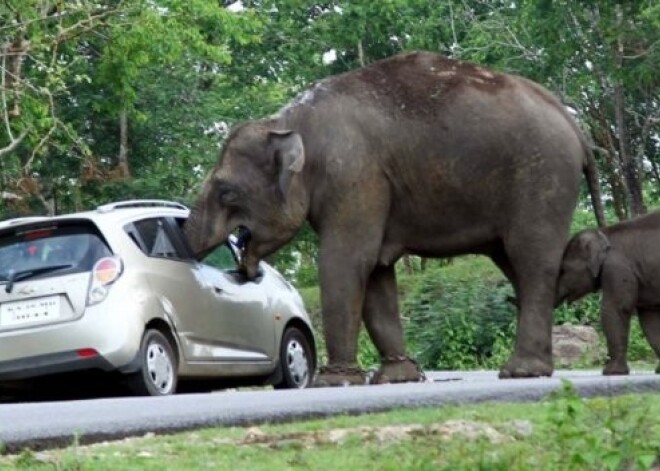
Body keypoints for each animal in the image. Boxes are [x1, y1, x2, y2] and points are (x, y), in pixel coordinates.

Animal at [184, 50, 604, 388]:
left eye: (226, 192)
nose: (242, 269)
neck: (288, 121)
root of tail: (575, 125)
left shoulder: (354, 174)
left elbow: (347, 261)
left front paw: (333, 382)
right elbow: (377, 272)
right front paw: (397, 377)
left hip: (541, 178)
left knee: (530, 260)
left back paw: (521, 371)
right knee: (516, 263)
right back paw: (538, 368)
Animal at [560, 211, 660, 376]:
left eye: (562, 270)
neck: (603, 232)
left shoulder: (616, 267)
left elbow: (615, 308)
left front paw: (611, 372)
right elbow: (650, 320)